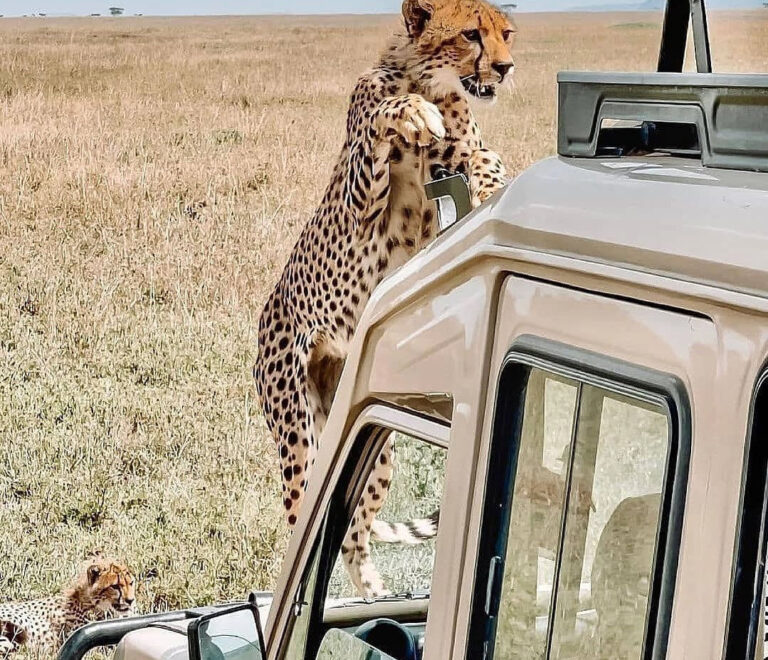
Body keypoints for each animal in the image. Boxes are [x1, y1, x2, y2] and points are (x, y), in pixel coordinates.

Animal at [254, 0, 516, 598]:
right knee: (307, 517)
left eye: (506, 33)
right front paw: (409, 114)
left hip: (379, 452)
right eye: (472, 34)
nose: (505, 68)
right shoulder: (361, 204)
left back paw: (376, 599)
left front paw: (492, 188)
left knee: (351, 534)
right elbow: (383, 117)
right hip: (299, 435)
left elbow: (488, 160)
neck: (431, 80)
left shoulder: (465, 164)